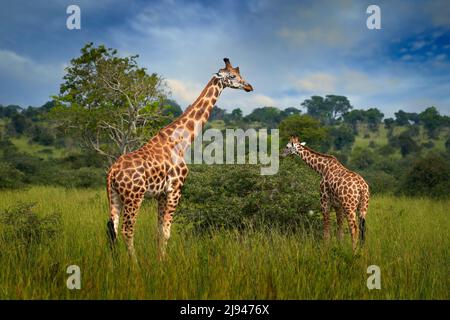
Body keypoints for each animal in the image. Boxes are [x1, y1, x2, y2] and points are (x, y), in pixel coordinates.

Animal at [106, 58, 253, 258]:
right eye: (232, 76)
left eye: (239, 74)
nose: (248, 86)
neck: (181, 142)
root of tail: (111, 173)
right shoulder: (175, 188)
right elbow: (166, 232)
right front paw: (164, 263)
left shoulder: (161, 194)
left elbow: (159, 231)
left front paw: (159, 260)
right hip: (134, 197)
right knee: (127, 230)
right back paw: (134, 264)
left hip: (114, 196)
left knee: (111, 229)